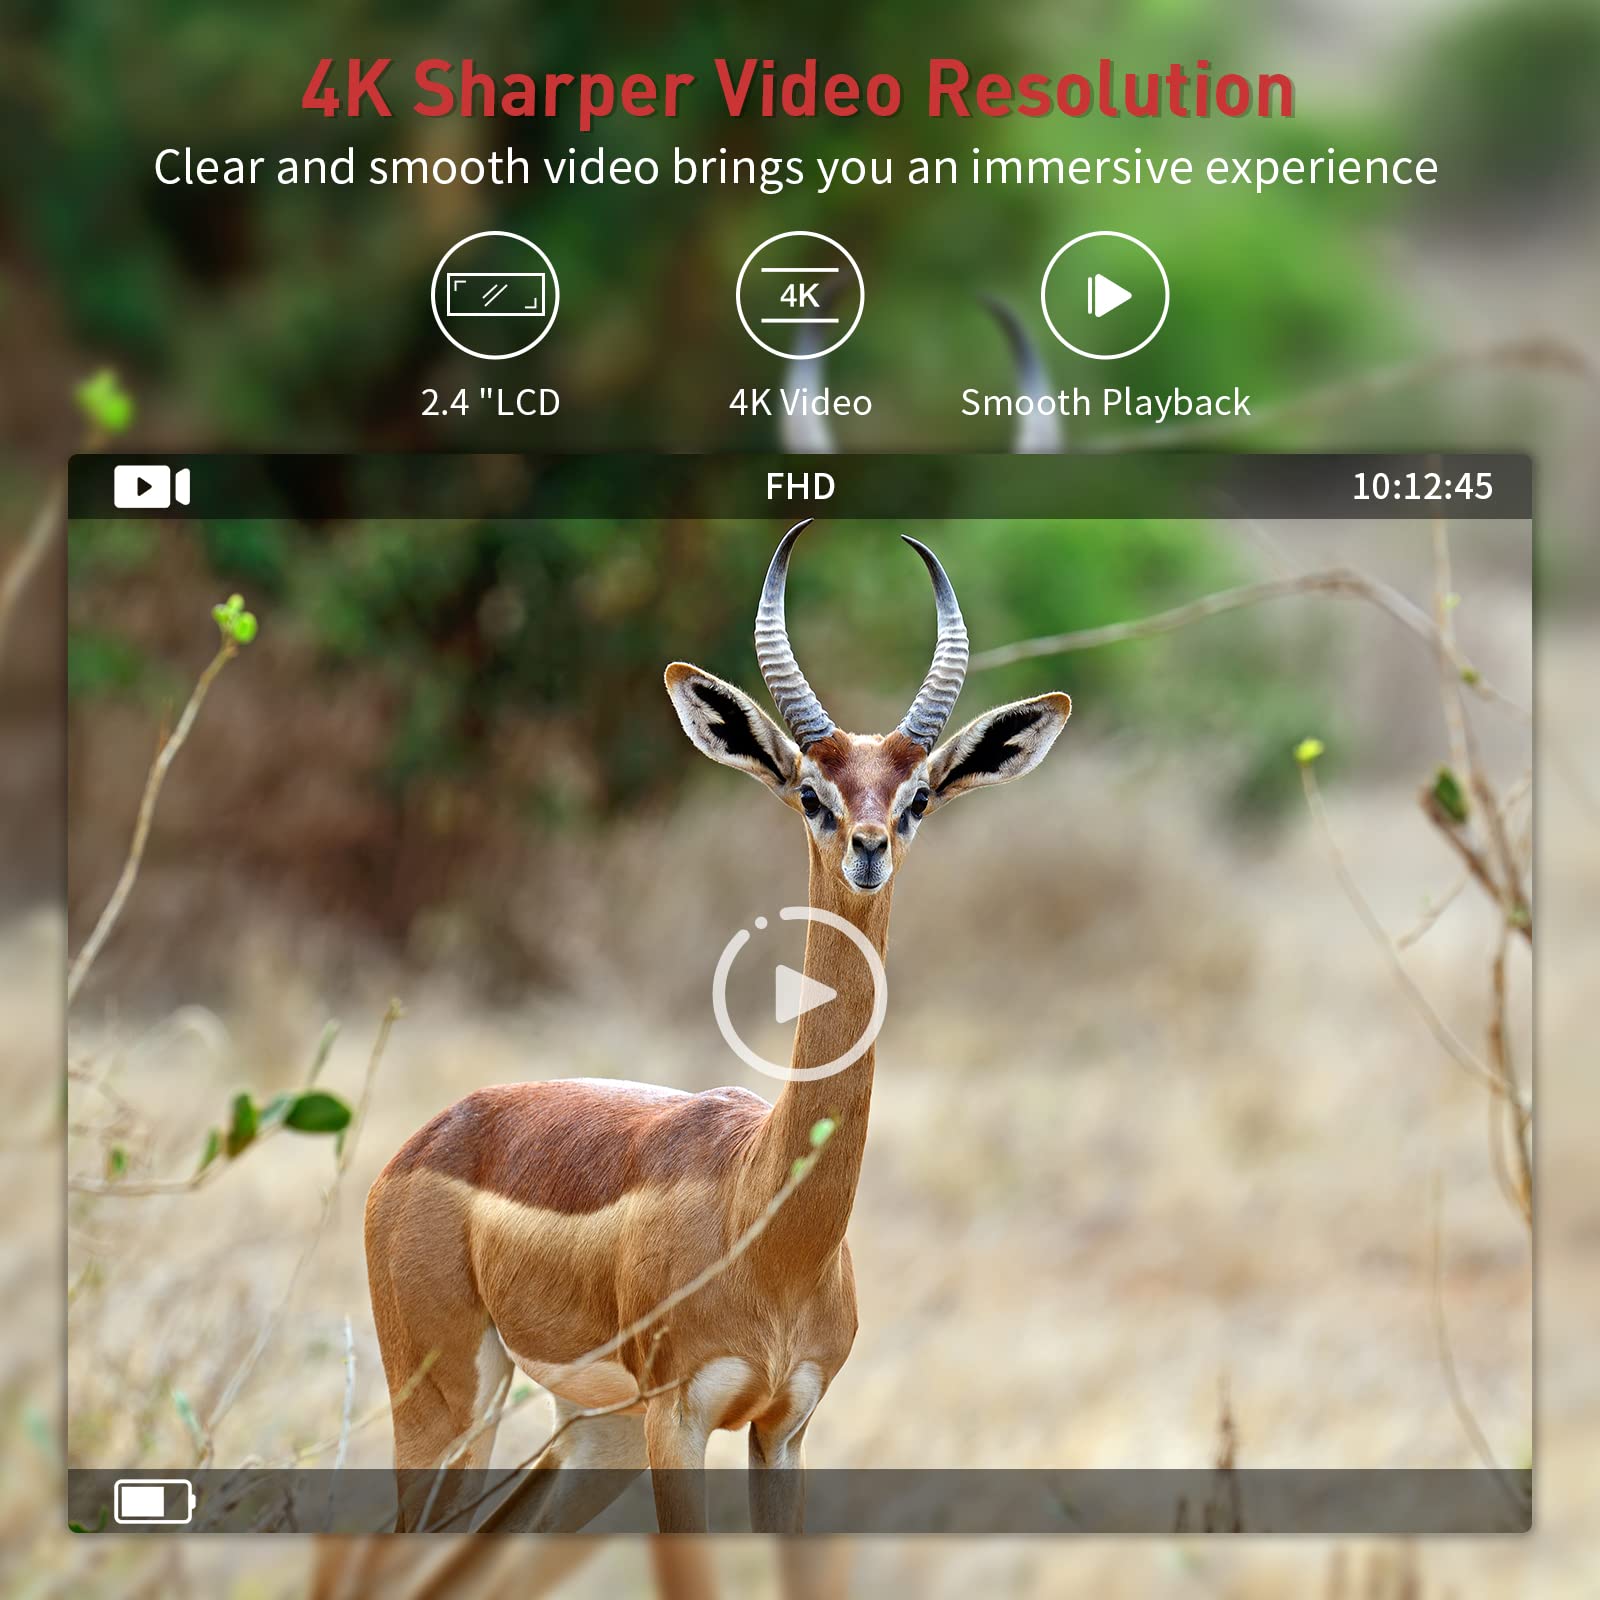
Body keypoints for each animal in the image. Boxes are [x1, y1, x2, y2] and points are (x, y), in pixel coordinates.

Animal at [362, 518, 1072, 1540]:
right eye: (812, 792)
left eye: (919, 797)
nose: (868, 849)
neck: (764, 1214)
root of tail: (424, 1141)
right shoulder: (683, 1419)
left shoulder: (785, 1429)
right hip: (448, 1402)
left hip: (590, 1437)